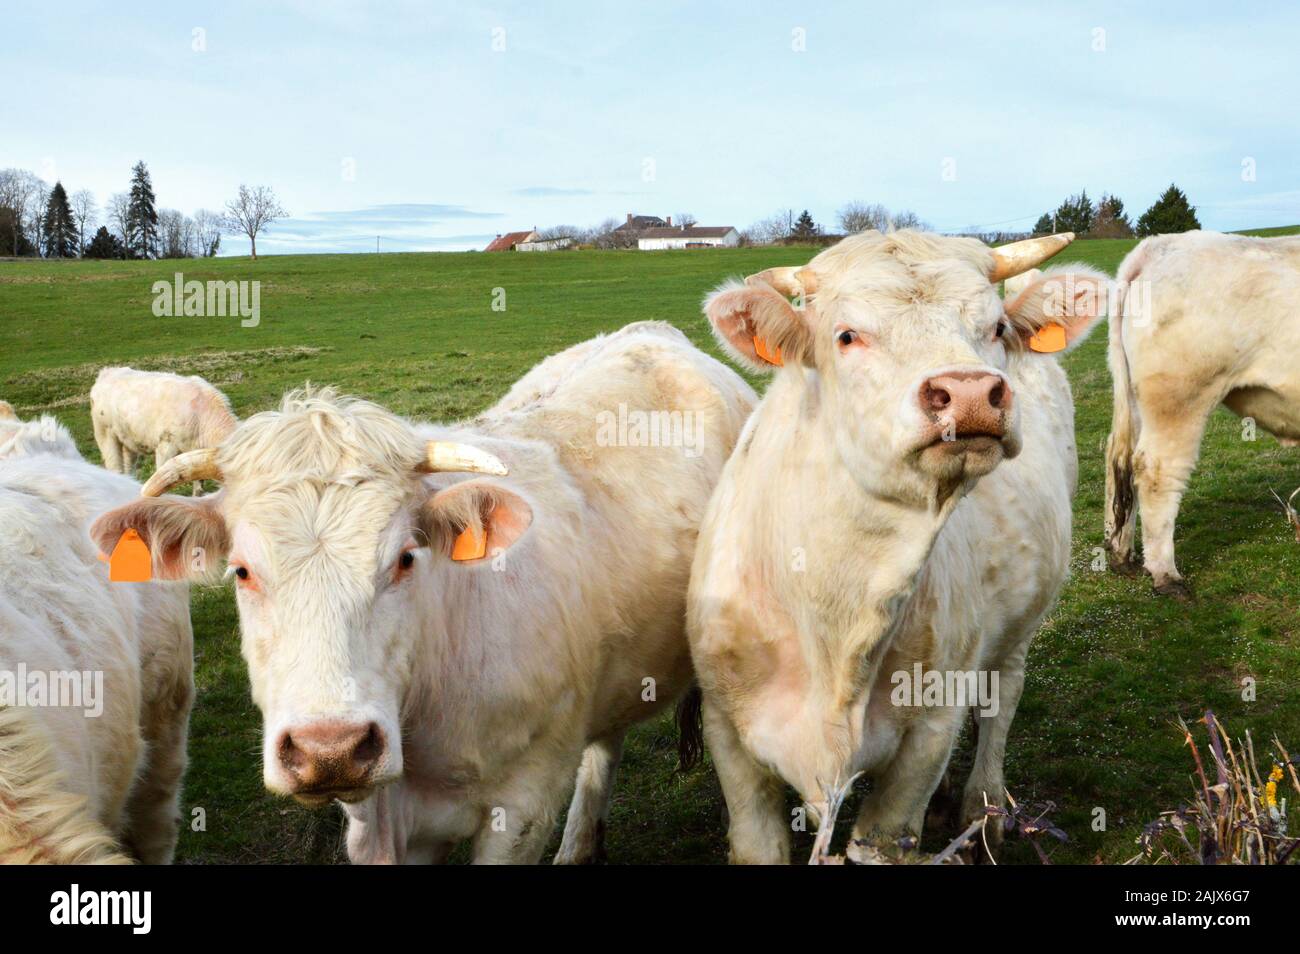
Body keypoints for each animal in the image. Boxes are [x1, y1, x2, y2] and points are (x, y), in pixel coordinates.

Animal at [686, 229, 1108, 864]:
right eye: (847, 335)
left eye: (996, 328)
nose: (969, 392)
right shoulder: (728, 729)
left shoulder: (929, 731)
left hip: (1018, 630)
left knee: (1001, 700)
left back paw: (983, 809)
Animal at [1105, 231, 1300, 598]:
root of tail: (1157, 245)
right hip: (1179, 397)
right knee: (1156, 471)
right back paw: (1166, 575)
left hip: (1137, 402)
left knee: (1119, 462)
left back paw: (1121, 553)